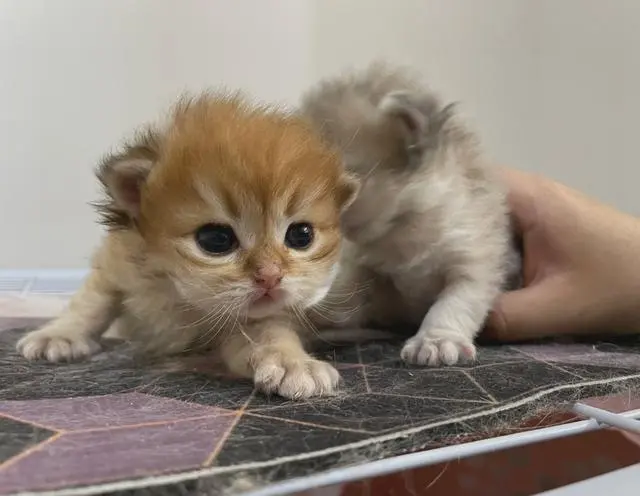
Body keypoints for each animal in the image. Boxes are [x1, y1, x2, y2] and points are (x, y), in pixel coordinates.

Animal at [17, 93, 358, 400]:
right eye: (216, 239)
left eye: (301, 236)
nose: (271, 276)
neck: (179, 293)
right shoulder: (117, 258)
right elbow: (92, 301)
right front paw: (59, 334)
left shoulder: (250, 320)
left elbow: (270, 333)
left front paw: (293, 362)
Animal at [302, 64, 520, 366]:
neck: (404, 227)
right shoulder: (365, 270)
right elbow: (347, 298)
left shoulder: (477, 254)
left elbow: (457, 300)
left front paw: (437, 339)